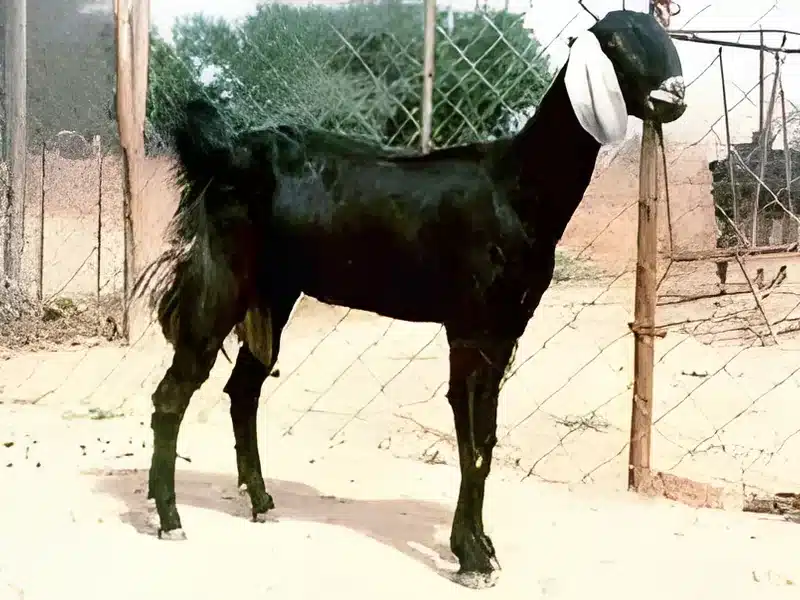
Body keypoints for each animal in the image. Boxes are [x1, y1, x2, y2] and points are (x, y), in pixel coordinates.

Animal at [137, 9, 685, 588]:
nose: (675, 97)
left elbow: (486, 439)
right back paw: (169, 517)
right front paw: (472, 558)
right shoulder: (471, 327)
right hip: (222, 277)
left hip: (276, 292)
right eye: (617, 41)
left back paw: (261, 501)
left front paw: (481, 546)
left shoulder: (506, 329)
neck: (517, 188)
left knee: (243, 389)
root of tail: (225, 154)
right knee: (173, 392)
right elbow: (473, 441)